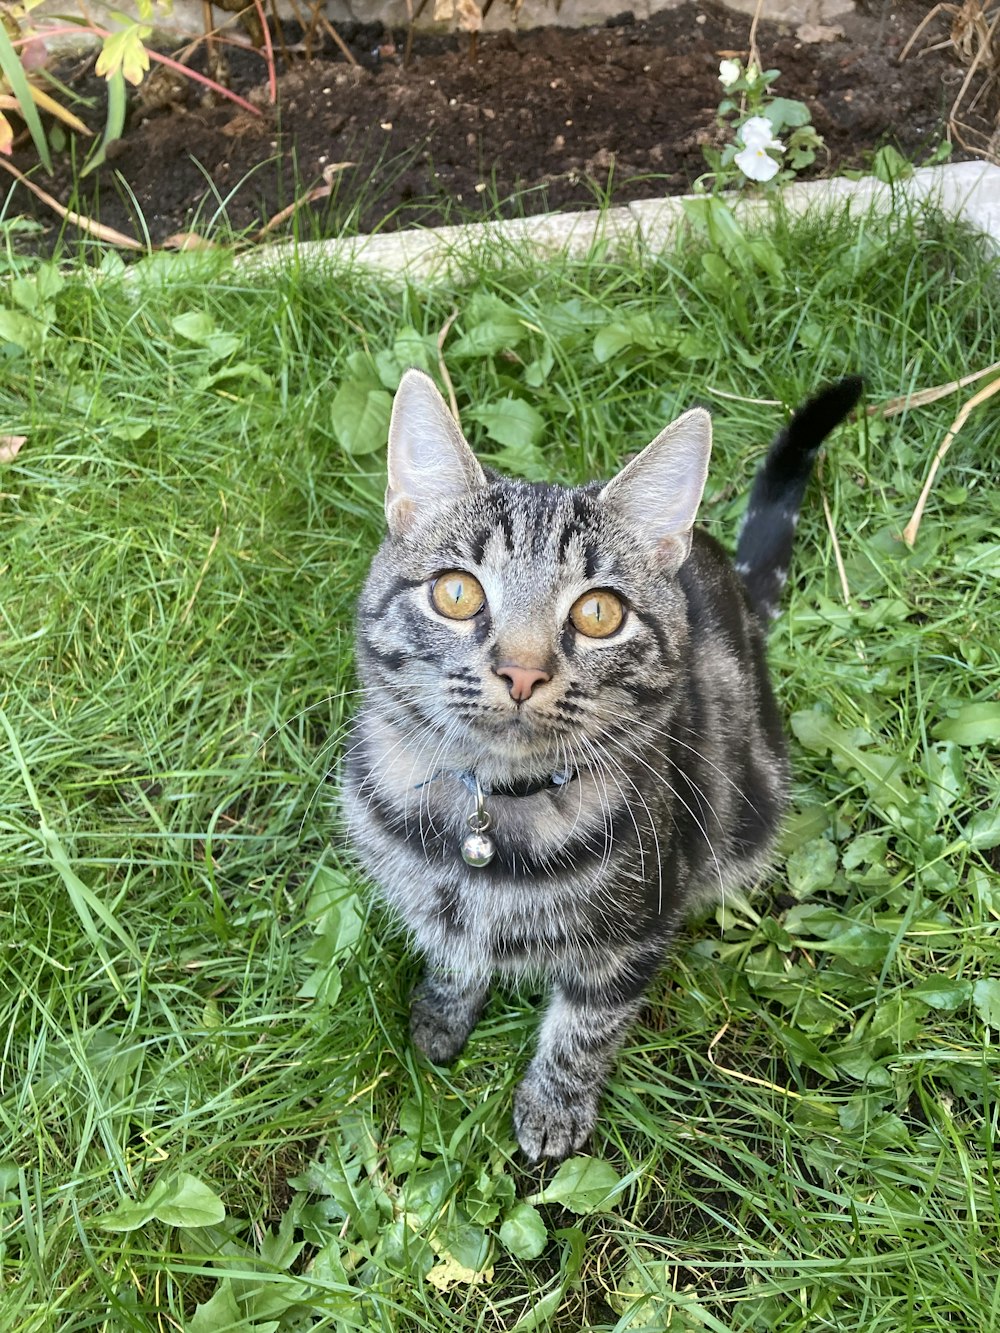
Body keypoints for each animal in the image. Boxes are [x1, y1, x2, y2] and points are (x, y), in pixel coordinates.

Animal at [344, 370, 864, 1162]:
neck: (496, 817)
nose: (522, 671)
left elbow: (584, 1031)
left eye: (598, 613)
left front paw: (552, 1108)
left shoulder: (636, 931)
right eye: (456, 593)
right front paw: (440, 1014)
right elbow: (453, 951)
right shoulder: (434, 900)